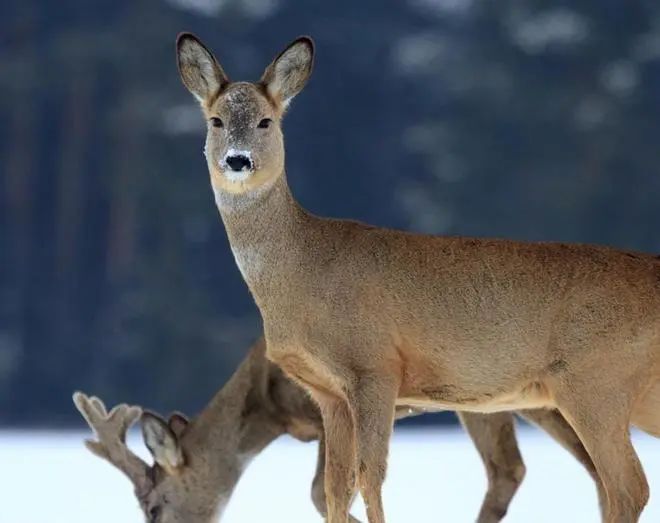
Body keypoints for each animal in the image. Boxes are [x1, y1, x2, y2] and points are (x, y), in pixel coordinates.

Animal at [175, 33, 660, 523]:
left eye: (265, 121)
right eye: (216, 120)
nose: (238, 161)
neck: (302, 273)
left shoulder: (375, 366)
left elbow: (369, 477)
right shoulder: (328, 393)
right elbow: (334, 488)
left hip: (594, 382)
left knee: (628, 486)